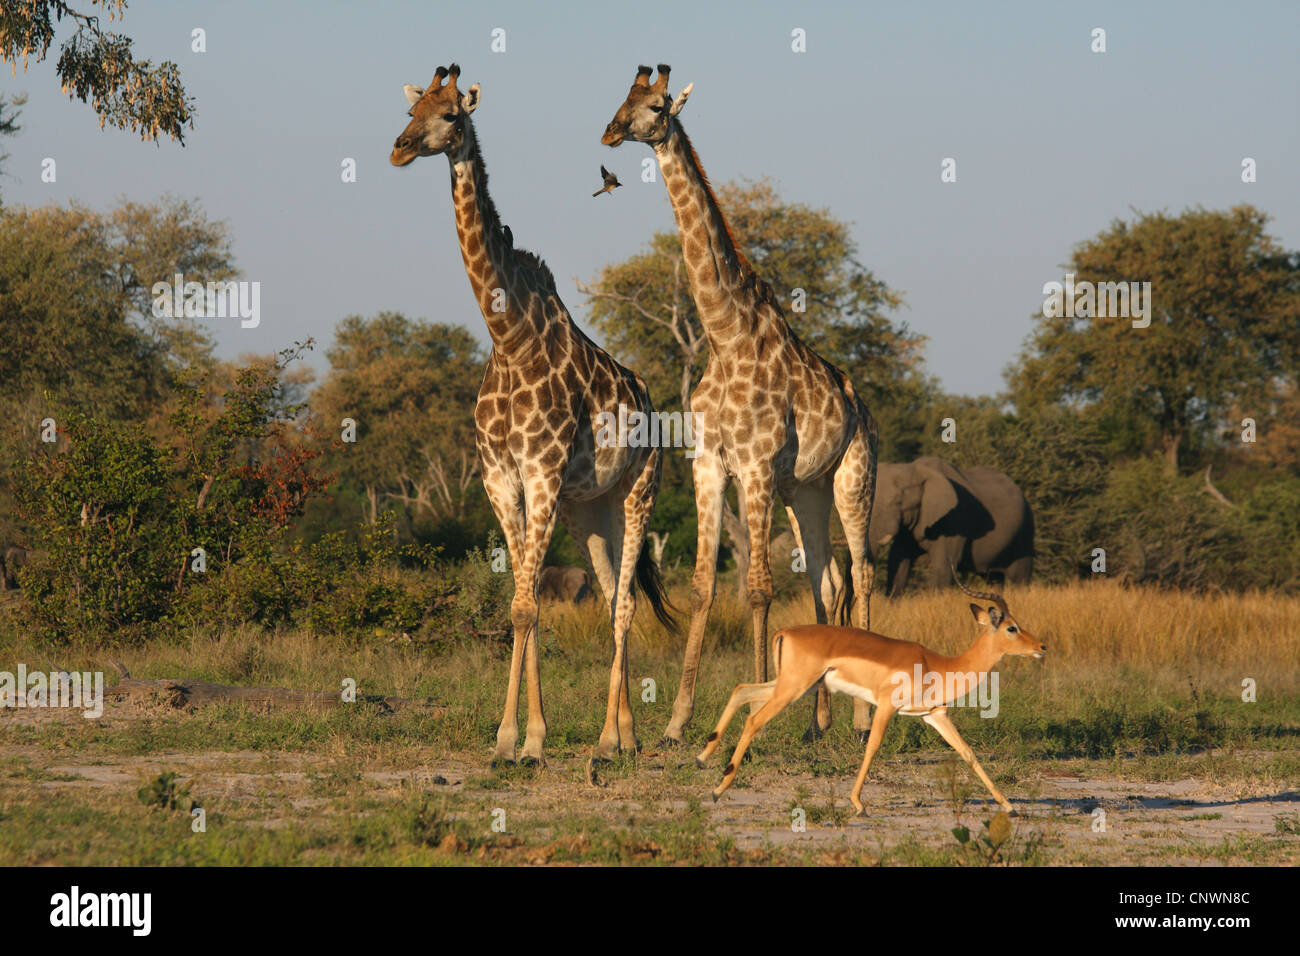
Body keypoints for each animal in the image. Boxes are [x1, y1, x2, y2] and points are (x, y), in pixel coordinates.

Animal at [391, 64, 675, 766]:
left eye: (451, 116)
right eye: (411, 111)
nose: (399, 149)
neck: (509, 336)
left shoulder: (541, 472)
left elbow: (528, 605)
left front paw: (530, 739)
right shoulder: (501, 477)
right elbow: (523, 604)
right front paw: (510, 740)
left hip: (638, 490)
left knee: (626, 602)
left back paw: (608, 741)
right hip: (589, 509)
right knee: (611, 593)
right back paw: (626, 734)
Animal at [601, 64, 878, 744]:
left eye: (654, 105)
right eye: (621, 98)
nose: (611, 131)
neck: (725, 337)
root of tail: (863, 407)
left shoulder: (753, 466)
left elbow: (756, 586)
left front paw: (751, 708)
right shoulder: (709, 464)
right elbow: (705, 585)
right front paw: (677, 722)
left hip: (853, 478)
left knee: (861, 572)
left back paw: (862, 718)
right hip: (805, 490)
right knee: (826, 576)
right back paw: (818, 722)